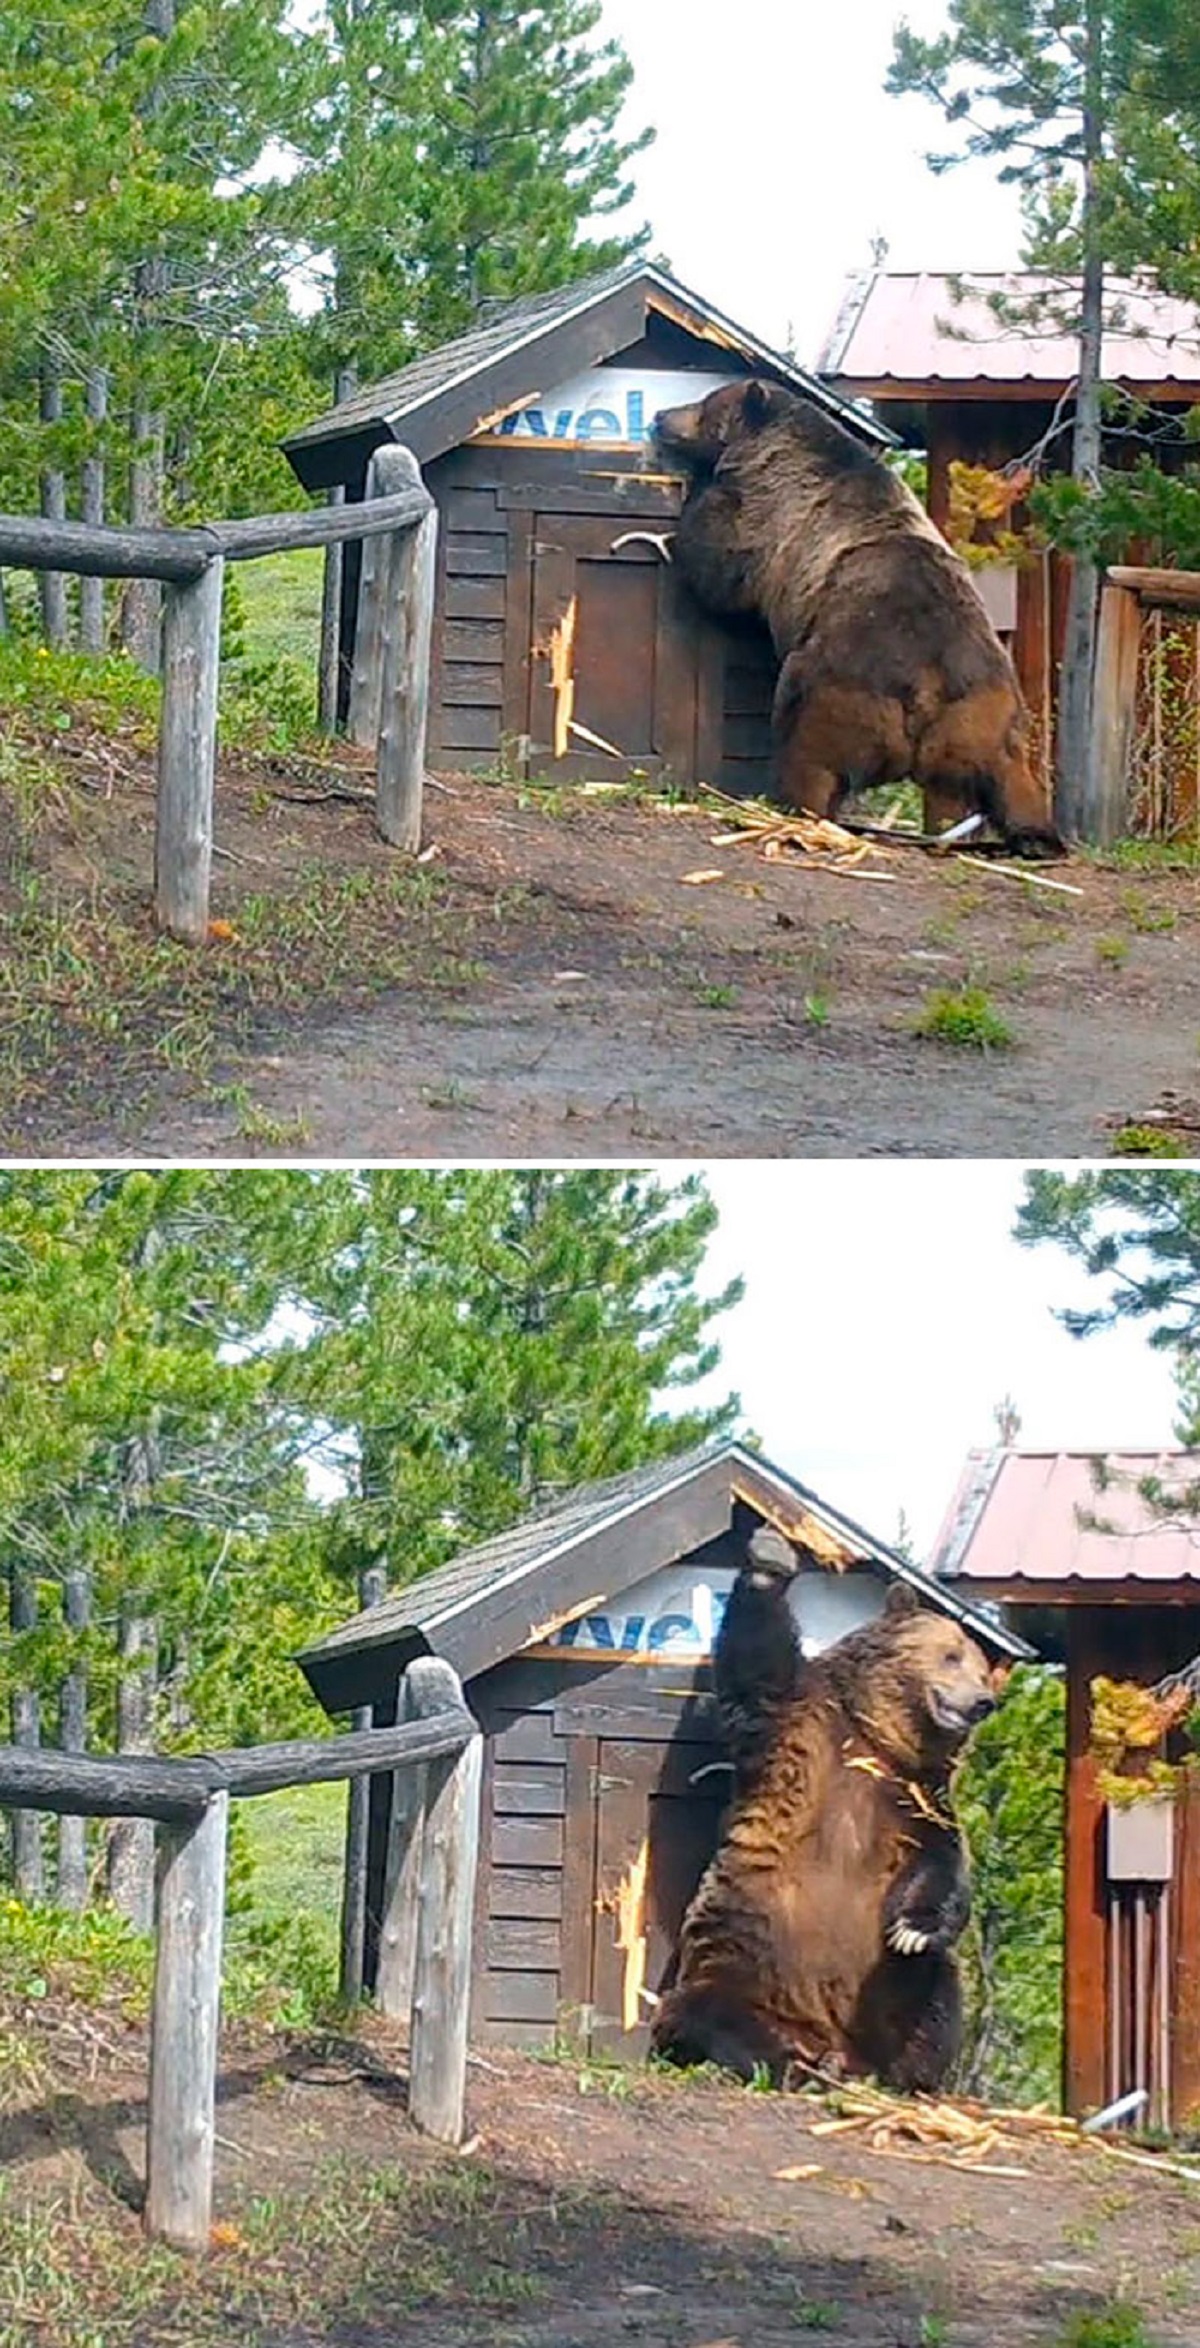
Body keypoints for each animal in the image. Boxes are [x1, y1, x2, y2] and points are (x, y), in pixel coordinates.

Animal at [652, 1530, 1000, 2103]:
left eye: (981, 1666)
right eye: (952, 1655)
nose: (982, 1701)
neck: (877, 1737)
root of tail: (828, 2034)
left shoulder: (916, 1795)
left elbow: (942, 1864)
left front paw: (913, 1927)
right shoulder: (800, 1730)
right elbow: (758, 1670)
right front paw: (771, 1559)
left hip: (881, 1986)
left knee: (934, 1996)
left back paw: (903, 2075)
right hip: (743, 1962)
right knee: (709, 2012)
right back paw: (794, 2065)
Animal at [657, 380, 1061, 859]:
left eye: (703, 404)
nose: (660, 416)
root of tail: (927, 690)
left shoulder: (771, 518)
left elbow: (720, 562)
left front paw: (691, 500)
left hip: (838, 685)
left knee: (808, 746)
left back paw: (792, 807)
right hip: (985, 709)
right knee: (1010, 772)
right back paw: (1038, 835)